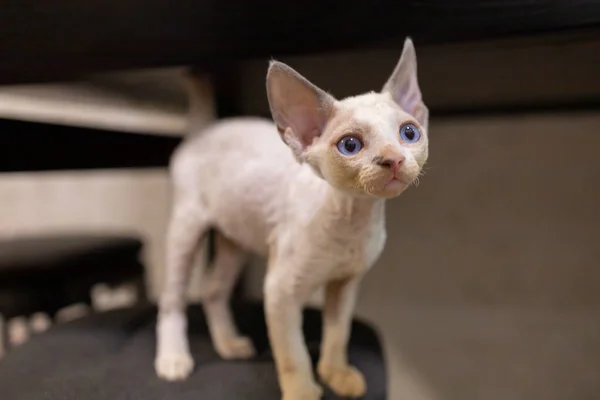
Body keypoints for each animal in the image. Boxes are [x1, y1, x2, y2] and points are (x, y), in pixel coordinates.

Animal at [152, 38, 428, 400]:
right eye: (350, 145)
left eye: (409, 133)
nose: (394, 159)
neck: (354, 221)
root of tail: (205, 131)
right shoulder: (280, 292)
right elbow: (292, 353)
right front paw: (302, 391)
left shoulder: (346, 283)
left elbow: (338, 332)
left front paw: (336, 373)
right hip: (187, 225)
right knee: (172, 297)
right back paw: (173, 358)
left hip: (237, 236)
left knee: (213, 288)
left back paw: (229, 344)